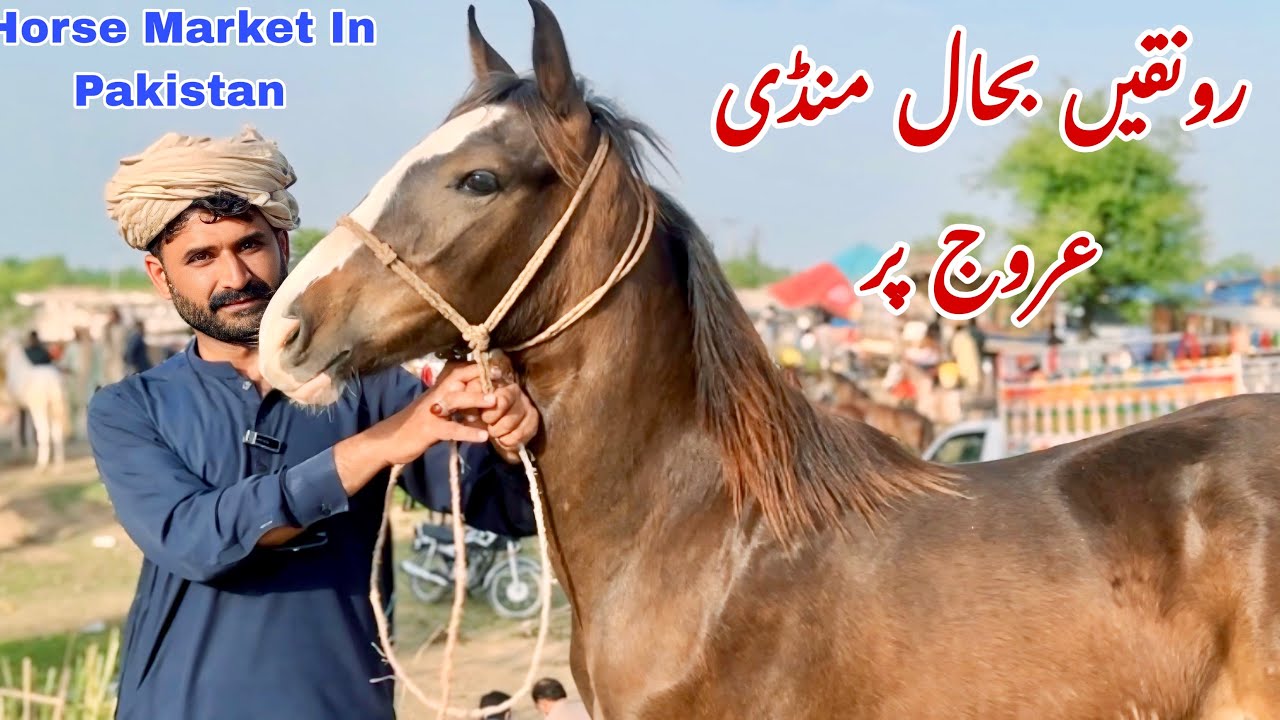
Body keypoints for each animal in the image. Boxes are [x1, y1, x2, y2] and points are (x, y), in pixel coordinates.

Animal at [2, 334, 68, 471]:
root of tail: (54, 382)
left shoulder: (16, 405)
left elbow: (16, 428)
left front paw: (17, 452)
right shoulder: (26, 406)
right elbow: (27, 428)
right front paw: (30, 451)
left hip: (40, 407)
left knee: (44, 431)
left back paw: (41, 465)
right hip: (55, 405)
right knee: (57, 431)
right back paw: (58, 465)